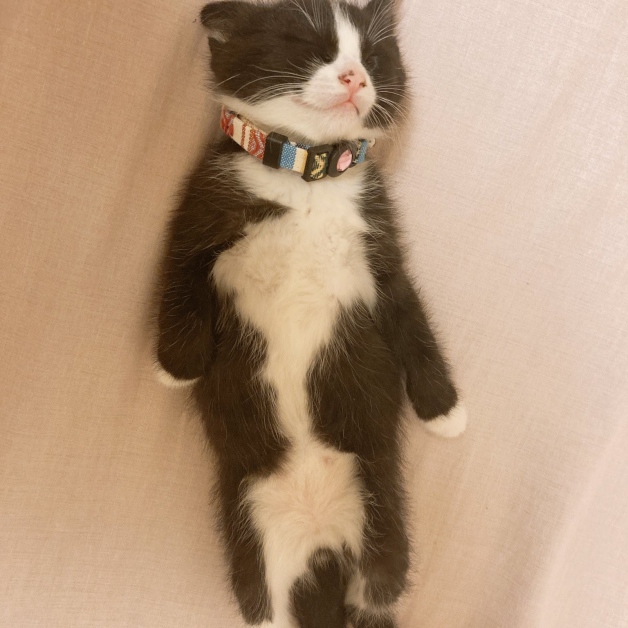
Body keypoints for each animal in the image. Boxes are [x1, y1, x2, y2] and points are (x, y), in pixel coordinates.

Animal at [155, 1, 467, 626]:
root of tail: (322, 546)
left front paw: (445, 412)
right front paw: (176, 367)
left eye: (374, 57)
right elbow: (181, 270)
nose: (354, 77)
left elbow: (412, 320)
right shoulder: (203, 202)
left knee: (379, 587)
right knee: (263, 600)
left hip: (380, 515)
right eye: (312, 46)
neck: (306, 176)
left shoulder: (381, 248)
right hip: (250, 540)